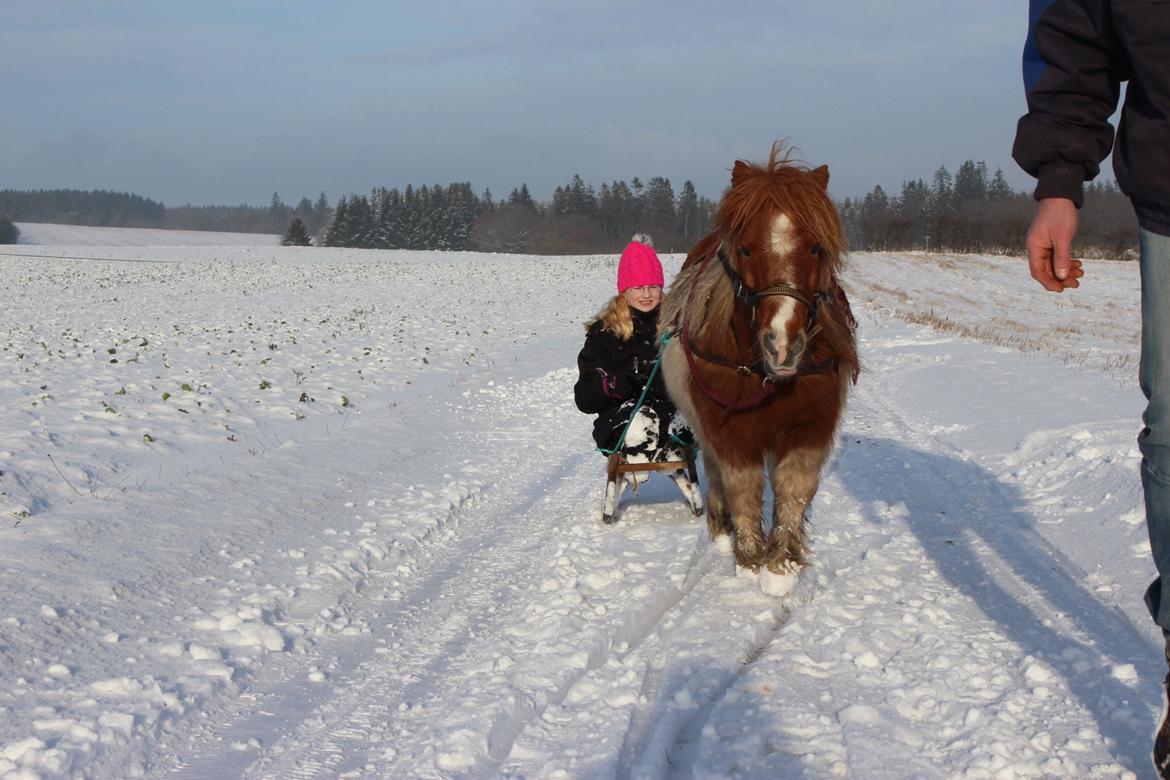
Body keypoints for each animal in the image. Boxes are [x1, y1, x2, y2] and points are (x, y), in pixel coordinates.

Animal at [659, 147, 861, 598]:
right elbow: (744, 488)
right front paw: (749, 559)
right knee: (715, 472)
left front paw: (781, 563)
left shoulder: (809, 426)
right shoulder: (730, 429)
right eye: (747, 250)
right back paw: (721, 530)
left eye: (816, 248)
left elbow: (792, 489)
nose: (782, 344)